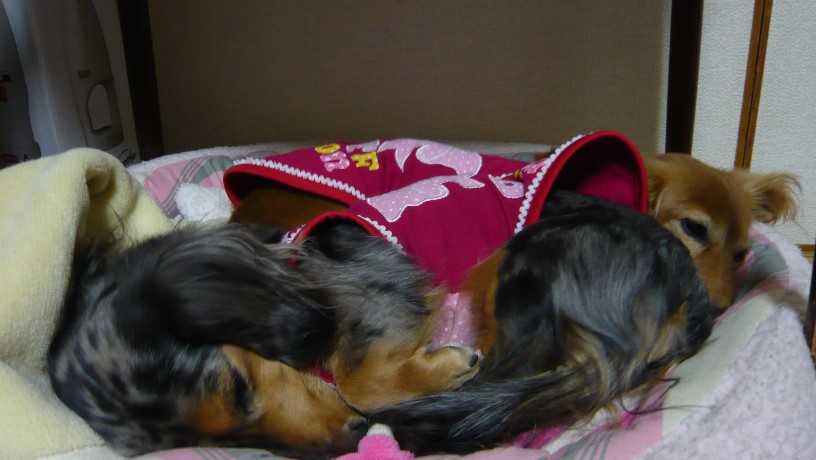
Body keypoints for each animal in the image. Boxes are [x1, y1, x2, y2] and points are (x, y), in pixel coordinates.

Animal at [48, 222, 482, 458]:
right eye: (232, 441)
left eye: (239, 389)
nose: (352, 441)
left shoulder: (374, 282)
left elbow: (359, 383)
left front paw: (452, 365)